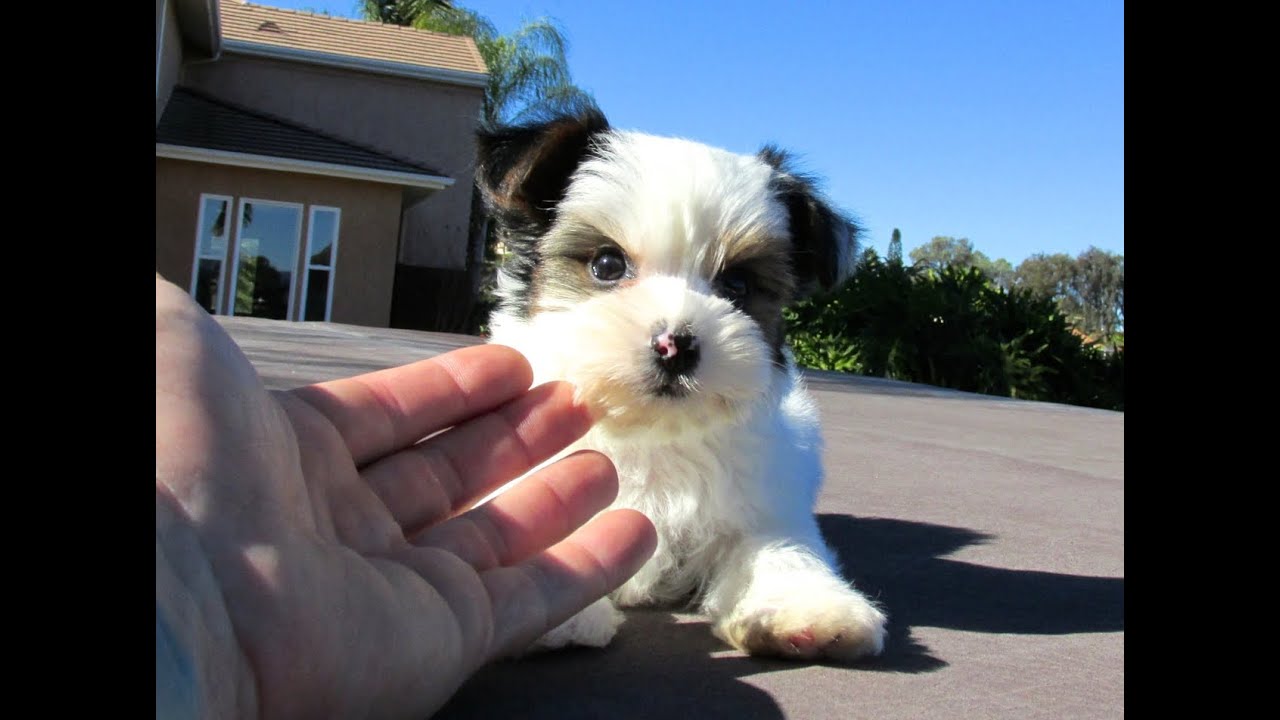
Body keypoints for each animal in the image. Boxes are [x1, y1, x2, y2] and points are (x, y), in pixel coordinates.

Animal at [476, 107, 885, 661]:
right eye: (607, 264)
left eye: (737, 283)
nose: (676, 345)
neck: (651, 433)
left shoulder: (762, 496)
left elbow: (777, 544)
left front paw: (804, 604)